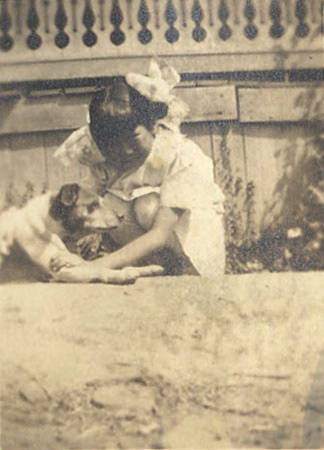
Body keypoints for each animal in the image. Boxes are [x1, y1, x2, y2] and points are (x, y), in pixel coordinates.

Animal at [0, 182, 162, 282]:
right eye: (94, 205)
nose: (122, 216)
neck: (49, 224)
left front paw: (148, 269)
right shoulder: (60, 271)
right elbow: (98, 270)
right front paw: (122, 274)